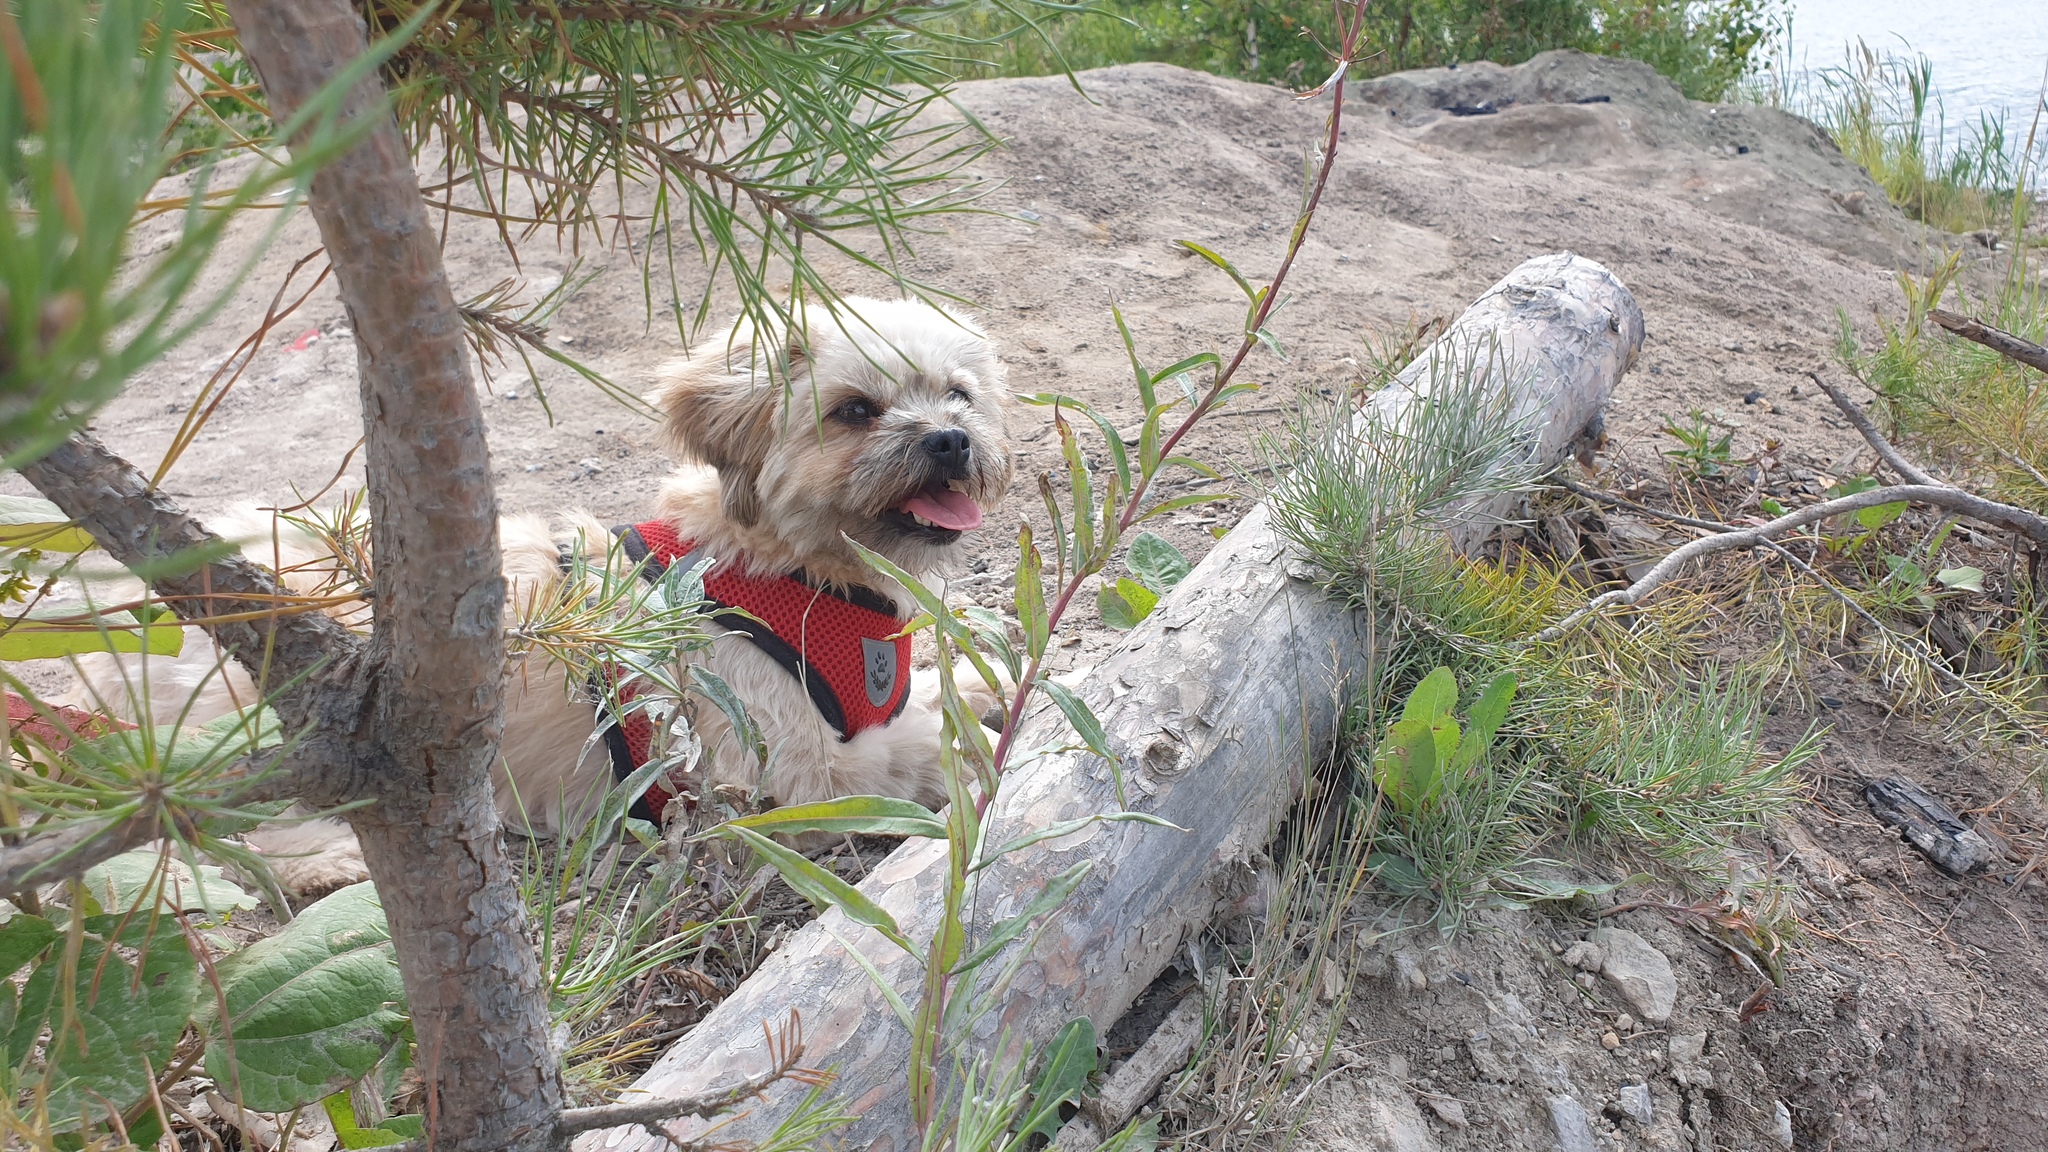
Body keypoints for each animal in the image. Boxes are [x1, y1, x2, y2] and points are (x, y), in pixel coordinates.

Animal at [68, 295, 1011, 889]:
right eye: (854, 410)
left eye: (960, 396)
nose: (951, 439)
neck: (787, 567)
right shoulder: (784, 776)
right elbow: (911, 747)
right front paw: (968, 726)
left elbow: (928, 696)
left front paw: (975, 680)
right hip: (257, 719)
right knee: (214, 827)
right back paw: (324, 857)